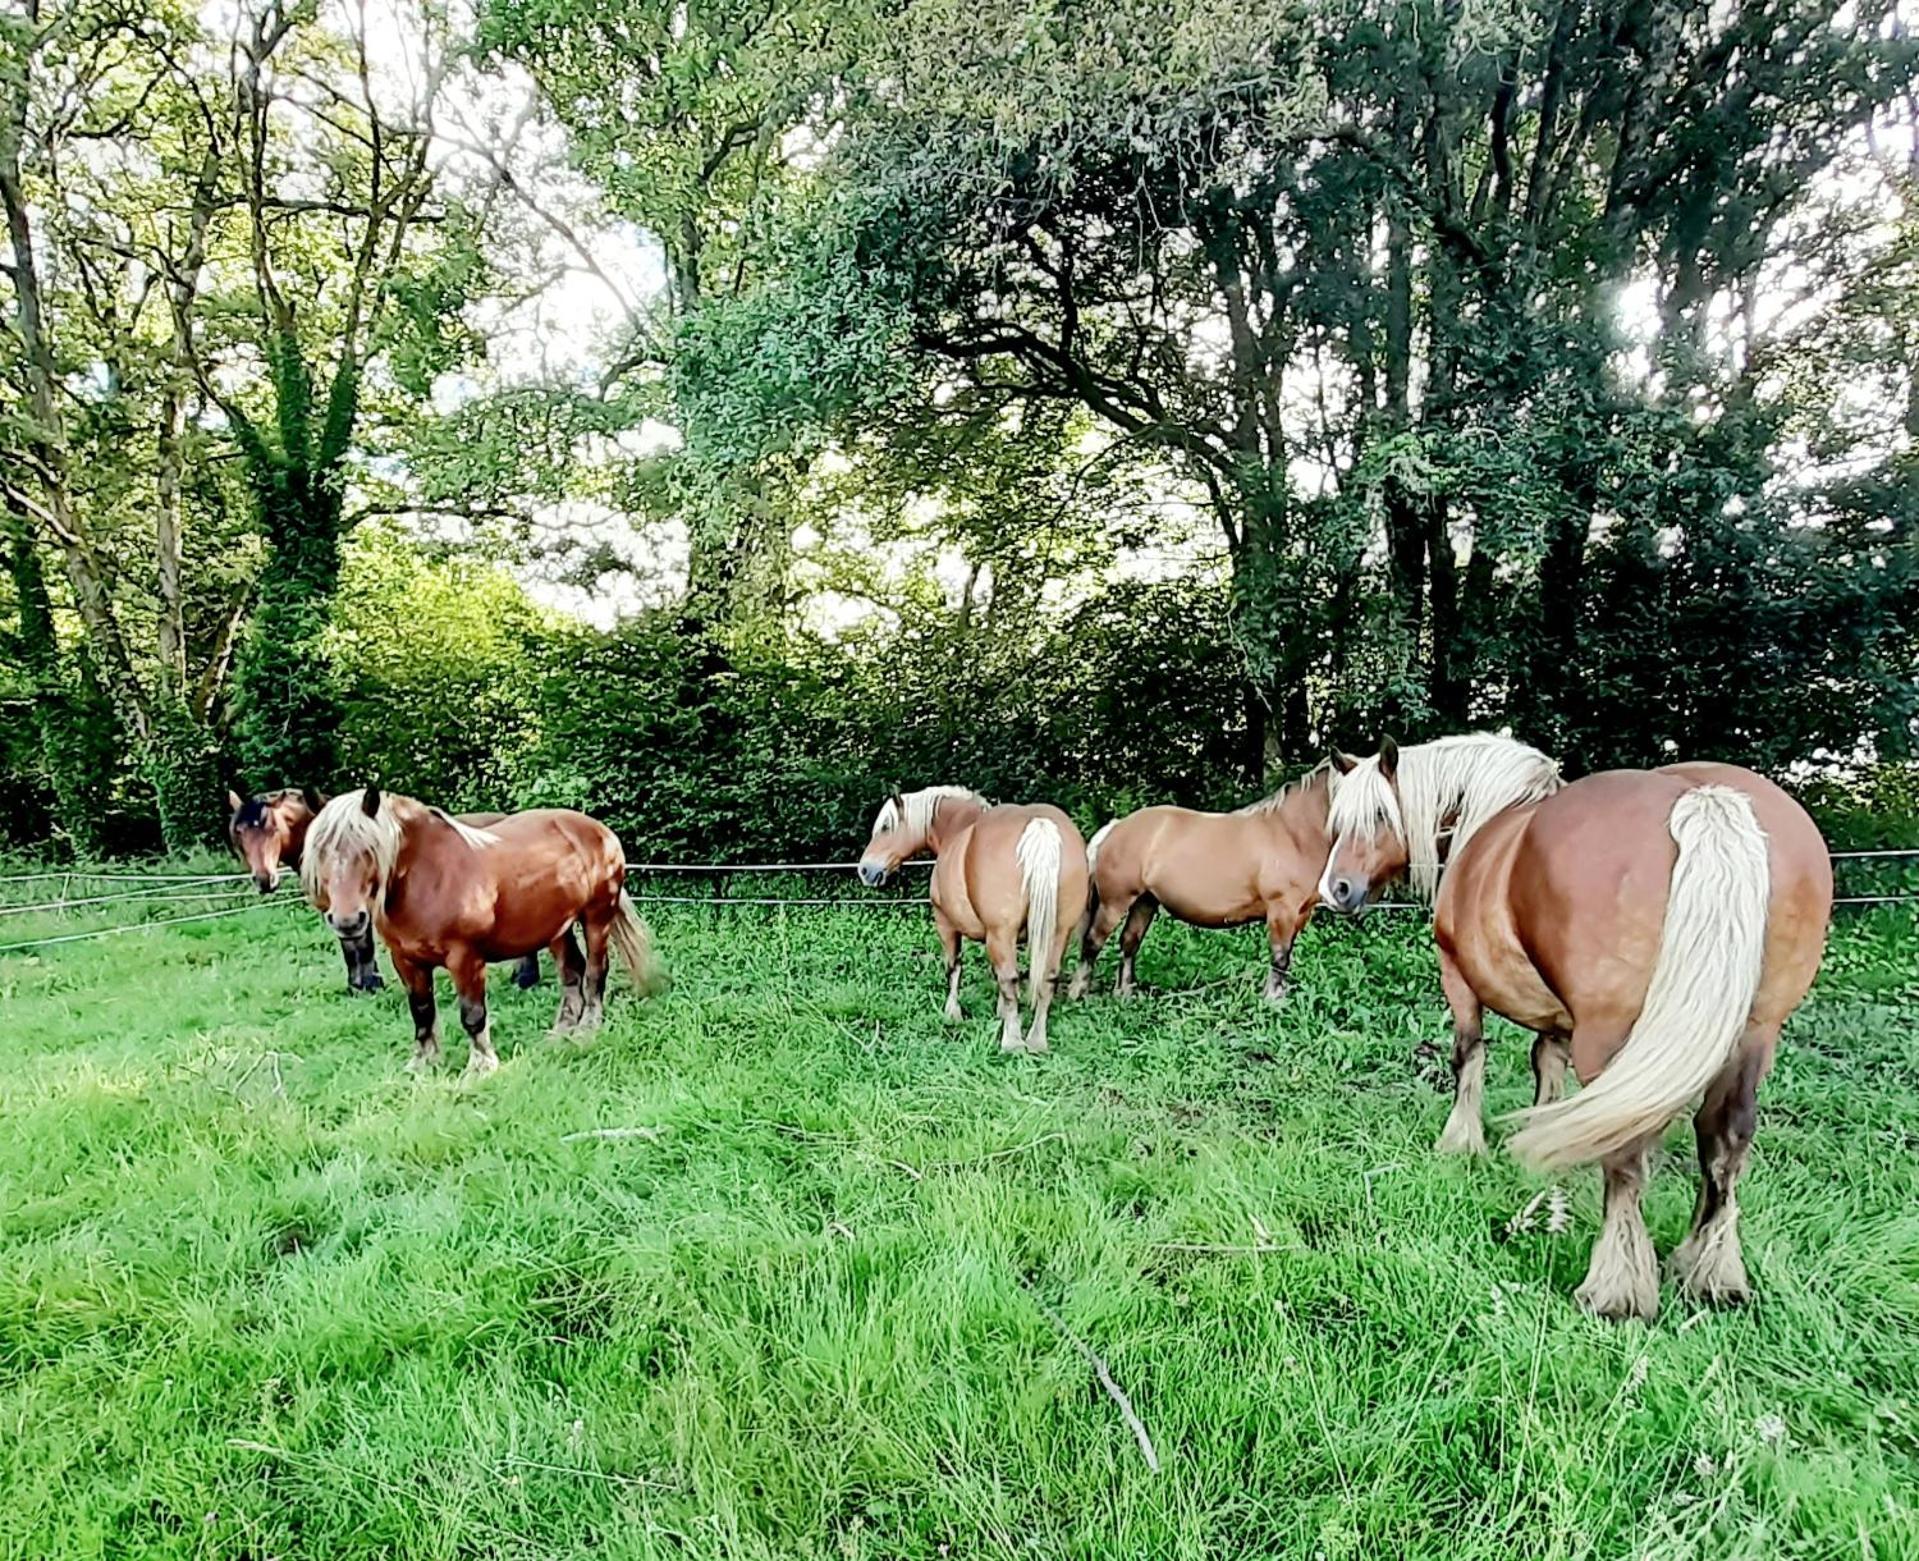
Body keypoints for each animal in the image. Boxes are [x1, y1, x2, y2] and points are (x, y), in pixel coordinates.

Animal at [232, 787, 552, 990]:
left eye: (272, 828)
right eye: (239, 832)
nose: (264, 879)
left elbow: (362, 946)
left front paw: (369, 985)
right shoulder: (339, 911)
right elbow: (350, 947)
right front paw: (358, 985)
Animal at [299, 787, 660, 1075]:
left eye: (368, 849)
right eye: (322, 851)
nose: (348, 921)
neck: (428, 878)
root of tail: (599, 830)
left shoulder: (465, 958)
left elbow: (472, 1015)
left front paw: (481, 1066)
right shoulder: (406, 961)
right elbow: (422, 1011)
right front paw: (423, 1063)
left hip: (597, 917)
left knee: (596, 972)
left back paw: (587, 1030)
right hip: (557, 928)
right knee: (572, 973)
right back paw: (560, 1035)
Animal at [859, 787, 1089, 1052]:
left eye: (886, 826)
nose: (864, 870)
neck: (957, 828)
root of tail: (1040, 825)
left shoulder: (946, 924)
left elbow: (954, 968)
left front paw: (952, 1013)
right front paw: (1000, 1012)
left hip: (1002, 933)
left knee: (1010, 979)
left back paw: (1012, 1042)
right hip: (1058, 933)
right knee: (1047, 979)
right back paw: (1036, 1040)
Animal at [1066, 764, 1335, 1006]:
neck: (1292, 833)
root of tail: (1116, 827)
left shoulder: (1299, 914)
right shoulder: (1282, 912)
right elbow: (1279, 957)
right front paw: (1273, 1003)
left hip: (1145, 902)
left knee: (1129, 941)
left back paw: (1125, 995)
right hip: (1114, 903)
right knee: (1093, 942)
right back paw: (1079, 994)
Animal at [1320, 729, 1826, 1313]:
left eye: (1378, 815)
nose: (1336, 888)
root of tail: (1703, 801)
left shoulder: (1459, 981)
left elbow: (1469, 1056)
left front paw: (1462, 1143)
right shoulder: (1559, 1020)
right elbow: (1549, 1075)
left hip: (1611, 1040)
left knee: (1629, 1151)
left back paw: (1615, 1290)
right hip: (1752, 1036)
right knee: (1724, 1141)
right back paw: (1708, 1272)